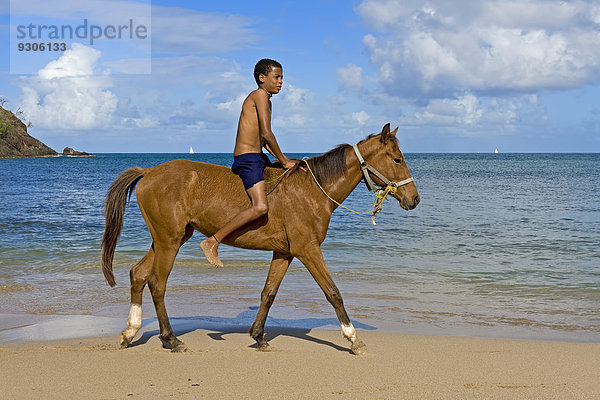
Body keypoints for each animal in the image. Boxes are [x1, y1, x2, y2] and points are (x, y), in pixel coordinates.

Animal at [101, 123, 420, 354]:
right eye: (397, 158)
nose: (414, 199)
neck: (312, 190)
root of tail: (148, 171)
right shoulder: (308, 250)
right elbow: (333, 293)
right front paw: (353, 339)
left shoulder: (285, 253)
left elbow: (269, 293)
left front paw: (258, 336)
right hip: (169, 241)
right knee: (157, 284)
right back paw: (171, 339)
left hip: (169, 239)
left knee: (138, 274)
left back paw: (130, 332)